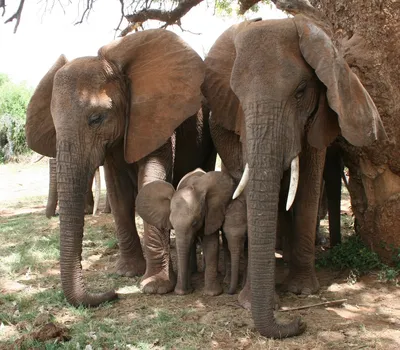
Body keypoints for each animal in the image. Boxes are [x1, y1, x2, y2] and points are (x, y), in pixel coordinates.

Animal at [24, 28, 216, 306]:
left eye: (96, 118)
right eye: (54, 125)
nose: (112, 294)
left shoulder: (154, 120)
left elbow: (150, 182)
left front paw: (155, 286)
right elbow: (119, 196)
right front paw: (127, 273)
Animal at [136, 168, 245, 296]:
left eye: (195, 222)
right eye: (171, 224)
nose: (184, 291)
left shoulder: (210, 215)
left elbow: (211, 246)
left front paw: (212, 293)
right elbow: (183, 248)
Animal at [203, 15, 388, 338]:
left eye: (301, 91)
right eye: (236, 95)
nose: (299, 322)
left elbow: (307, 189)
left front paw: (302, 292)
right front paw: (251, 302)